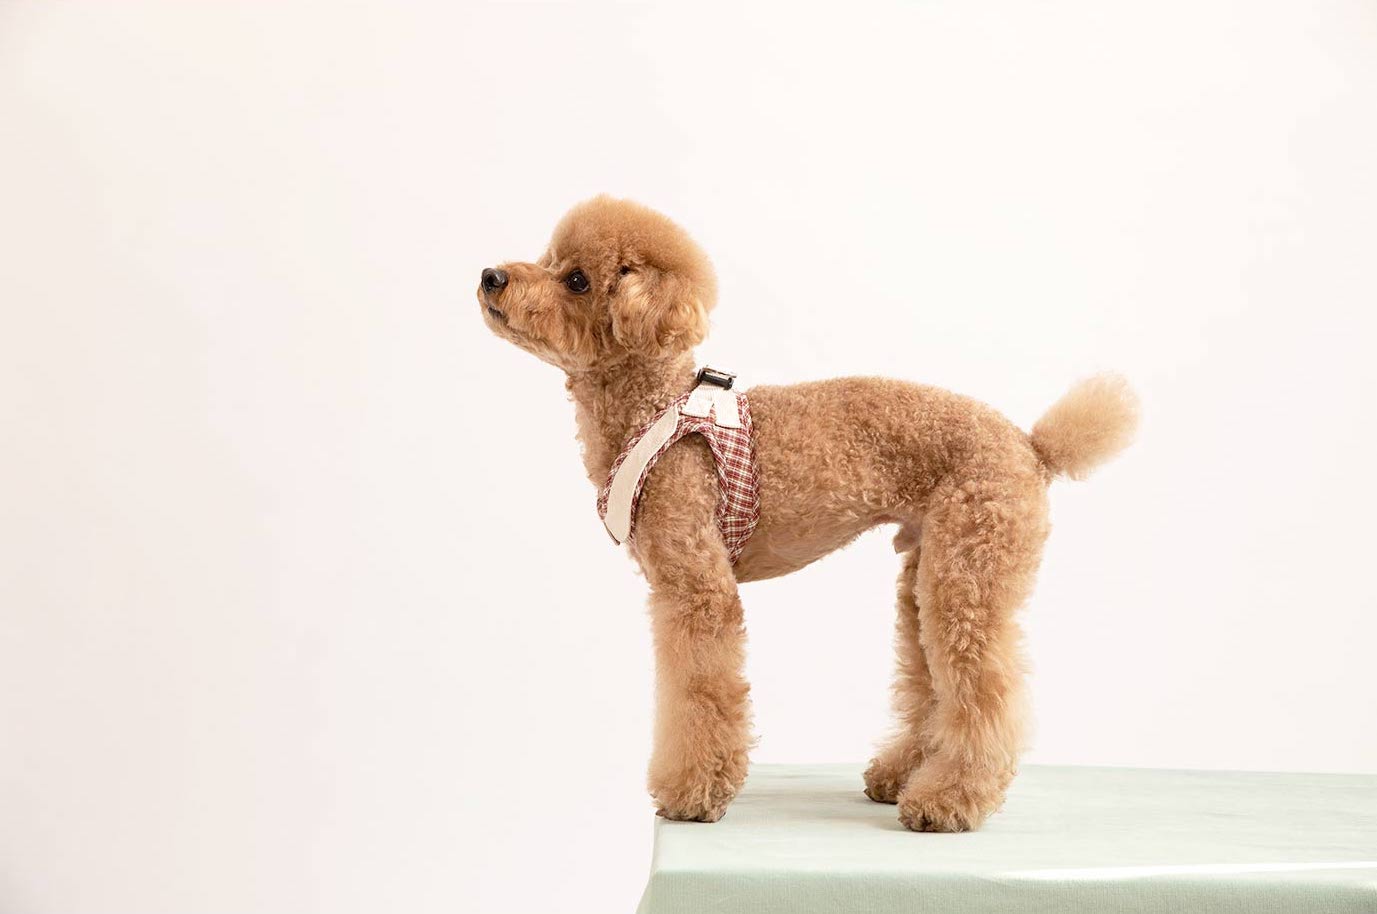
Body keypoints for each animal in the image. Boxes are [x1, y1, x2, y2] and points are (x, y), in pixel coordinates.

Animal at [476, 196, 1140, 831]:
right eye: (547, 257)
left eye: (578, 281)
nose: (490, 276)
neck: (654, 406)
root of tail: (1033, 447)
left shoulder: (697, 590)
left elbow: (699, 690)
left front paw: (693, 794)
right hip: (927, 575)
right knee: (929, 682)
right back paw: (901, 775)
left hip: (970, 569)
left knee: (986, 693)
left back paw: (949, 801)